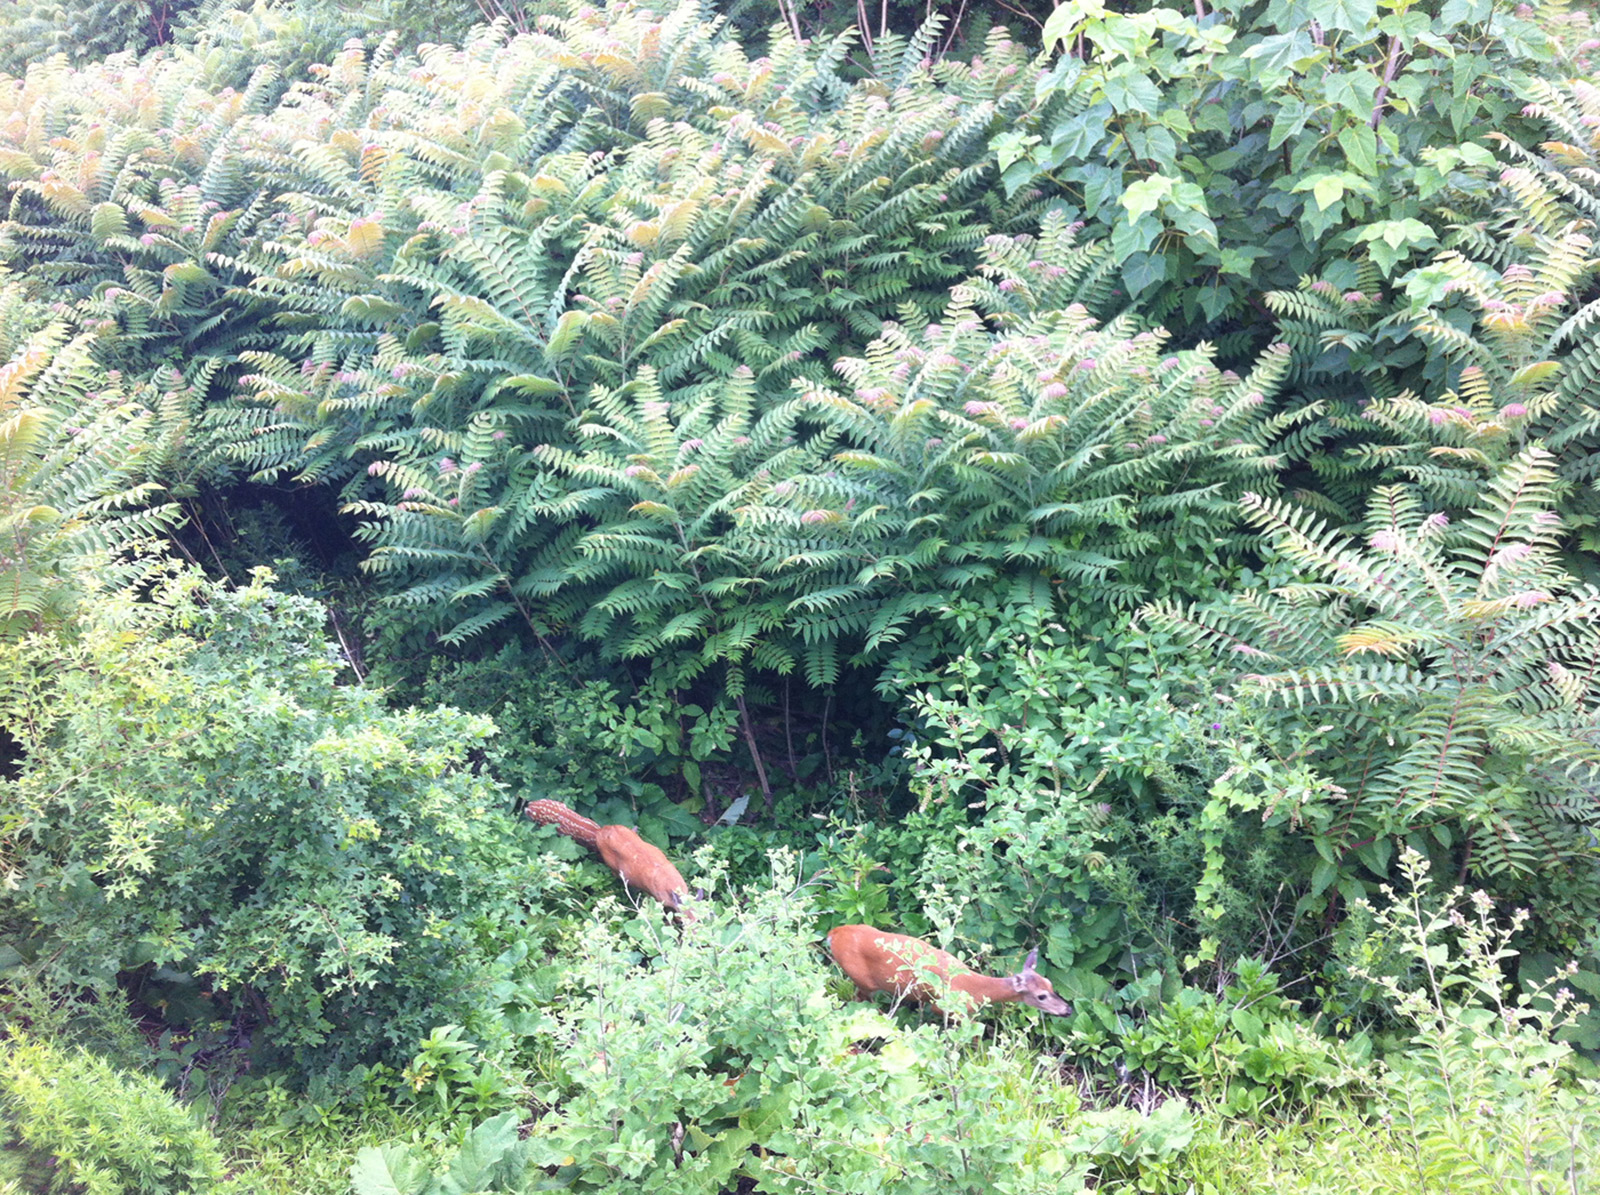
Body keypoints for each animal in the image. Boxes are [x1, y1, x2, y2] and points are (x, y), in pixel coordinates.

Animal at [832, 927, 1068, 1017]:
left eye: (1050, 984)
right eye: (1041, 996)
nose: (1067, 1010)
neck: (974, 989)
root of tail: (834, 933)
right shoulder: (941, 1007)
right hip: (863, 980)